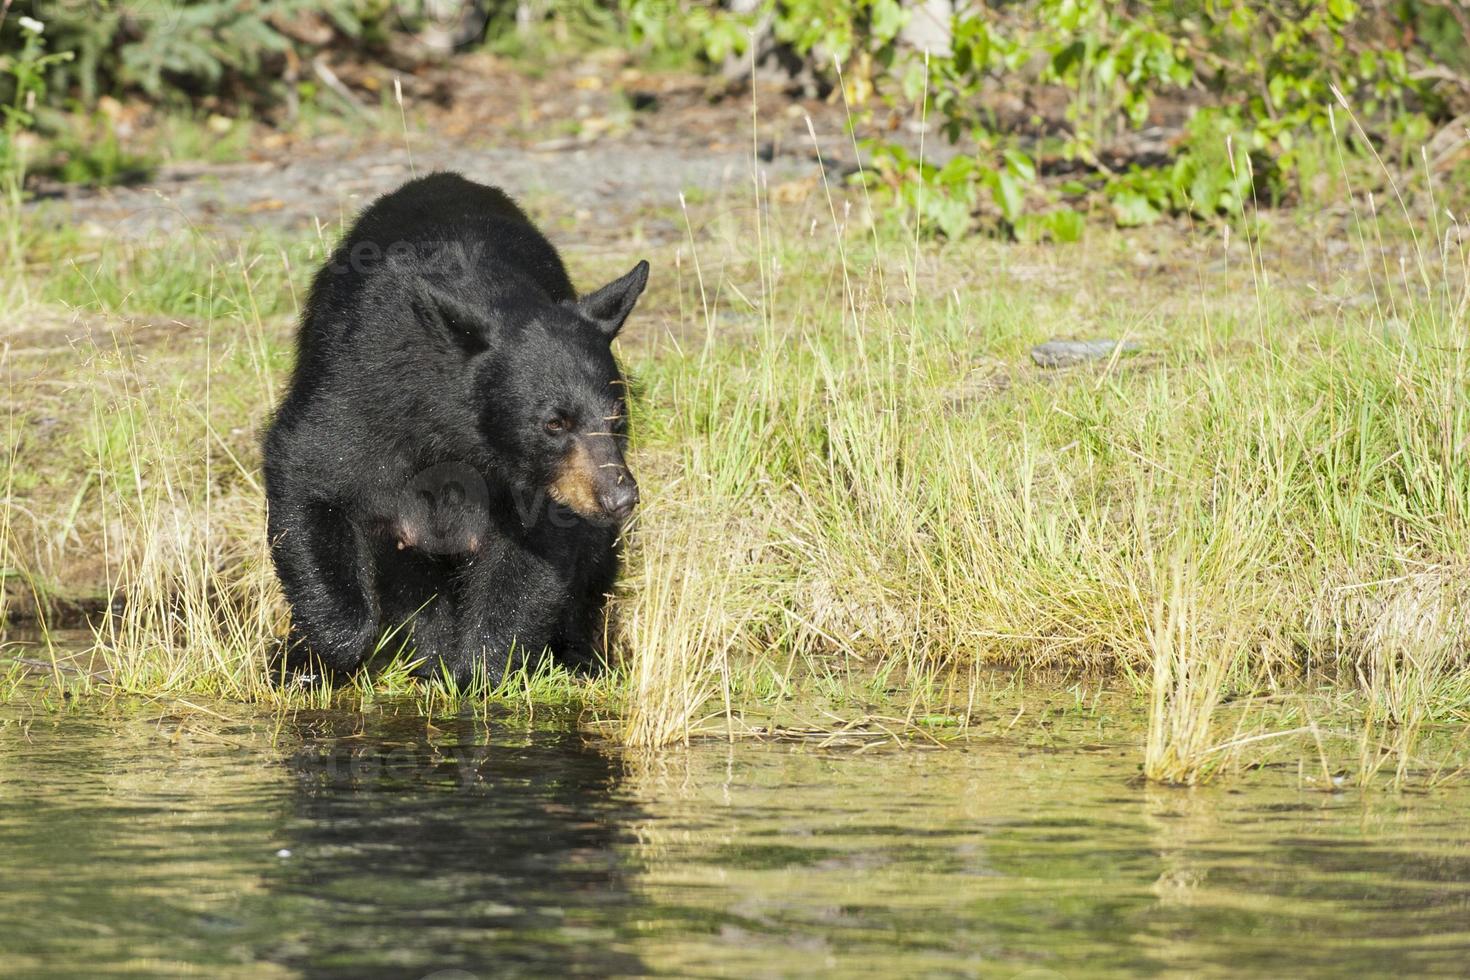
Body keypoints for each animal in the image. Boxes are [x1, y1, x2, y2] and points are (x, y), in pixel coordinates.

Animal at [263, 172, 649, 687]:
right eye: (553, 422)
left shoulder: (543, 486)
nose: (619, 497)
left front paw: (474, 674)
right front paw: (306, 660)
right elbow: (309, 478)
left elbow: (530, 563)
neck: (460, 434)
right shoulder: (361, 396)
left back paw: (580, 658)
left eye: (615, 416)